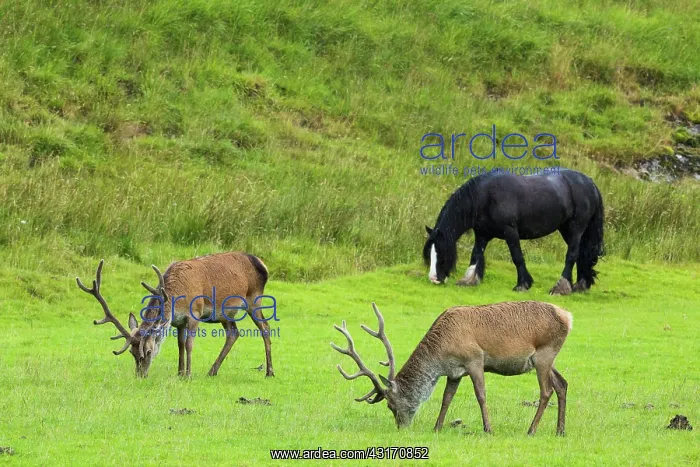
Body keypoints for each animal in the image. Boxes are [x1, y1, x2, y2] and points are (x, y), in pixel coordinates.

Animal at [76, 252, 274, 378]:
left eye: (148, 351)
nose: (140, 375)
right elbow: (179, 344)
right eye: (132, 352)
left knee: (265, 327)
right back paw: (213, 371)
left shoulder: (195, 314)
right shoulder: (178, 322)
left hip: (254, 299)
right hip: (225, 313)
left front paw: (188, 374)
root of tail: (262, 264)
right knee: (233, 333)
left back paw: (269, 371)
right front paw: (179, 372)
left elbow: (189, 344)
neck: (176, 299)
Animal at [331, 301, 572, 435]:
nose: (401, 426)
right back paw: (560, 430)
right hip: (545, 359)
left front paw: (488, 429)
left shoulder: (475, 359)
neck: (442, 353)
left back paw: (531, 430)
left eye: (391, 405)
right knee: (562, 384)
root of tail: (568, 317)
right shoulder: (455, 372)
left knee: (546, 391)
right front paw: (437, 427)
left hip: (544, 353)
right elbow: (447, 398)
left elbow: (481, 395)